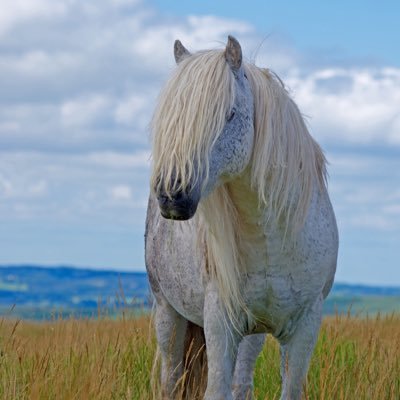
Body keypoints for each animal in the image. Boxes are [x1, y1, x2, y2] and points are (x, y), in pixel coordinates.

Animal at [145, 36, 340, 398]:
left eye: (229, 114)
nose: (171, 195)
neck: (270, 241)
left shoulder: (305, 328)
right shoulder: (220, 323)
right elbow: (214, 389)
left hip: (253, 333)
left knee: (242, 382)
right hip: (168, 313)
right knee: (171, 379)